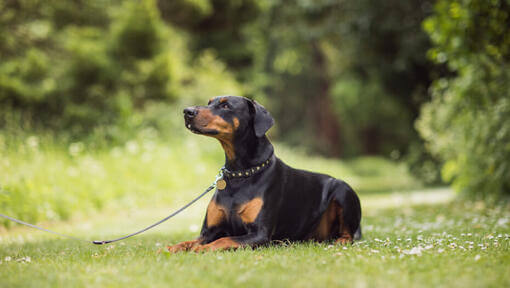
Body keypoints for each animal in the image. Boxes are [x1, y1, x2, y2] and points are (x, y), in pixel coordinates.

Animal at [167, 95, 362, 252]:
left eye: (225, 105)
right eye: (209, 102)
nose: (187, 111)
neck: (240, 173)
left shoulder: (259, 234)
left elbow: (224, 239)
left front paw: (203, 249)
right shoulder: (208, 231)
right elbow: (188, 242)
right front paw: (169, 248)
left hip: (343, 189)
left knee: (349, 235)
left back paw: (341, 241)